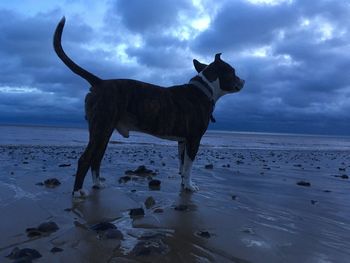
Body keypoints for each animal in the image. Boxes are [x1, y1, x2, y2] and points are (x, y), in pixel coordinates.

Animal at [53, 17, 245, 198]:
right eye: (233, 71)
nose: (243, 81)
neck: (205, 89)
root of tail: (100, 82)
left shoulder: (182, 141)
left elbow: (183, 166)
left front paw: (184, 185)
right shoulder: (194, 139)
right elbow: (189, 166)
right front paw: (190, 186)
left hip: (103, 132)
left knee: (96, 158)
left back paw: (98, 184)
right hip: (101, 128)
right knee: (85, 159)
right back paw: (77, 191)